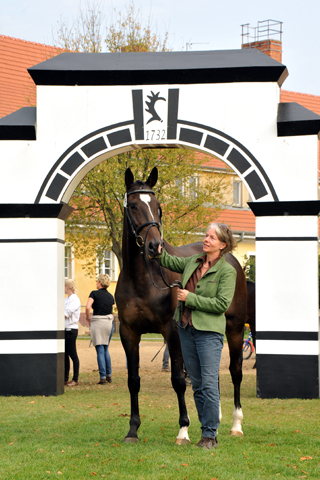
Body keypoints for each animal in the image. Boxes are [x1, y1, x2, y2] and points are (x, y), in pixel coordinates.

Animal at [115, 167, 248, 444]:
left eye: (158, 206)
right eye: (133, 205)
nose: (155, 246)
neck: (143, 280)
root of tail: (230, 258)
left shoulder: (172, 331)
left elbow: (178, 380)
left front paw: (184, 430)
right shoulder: (128, 332)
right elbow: (133, 380)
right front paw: (132, 430)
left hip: (235, 329)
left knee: (235, 371)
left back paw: (236, 424)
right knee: (212, 374)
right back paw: (217, 418)